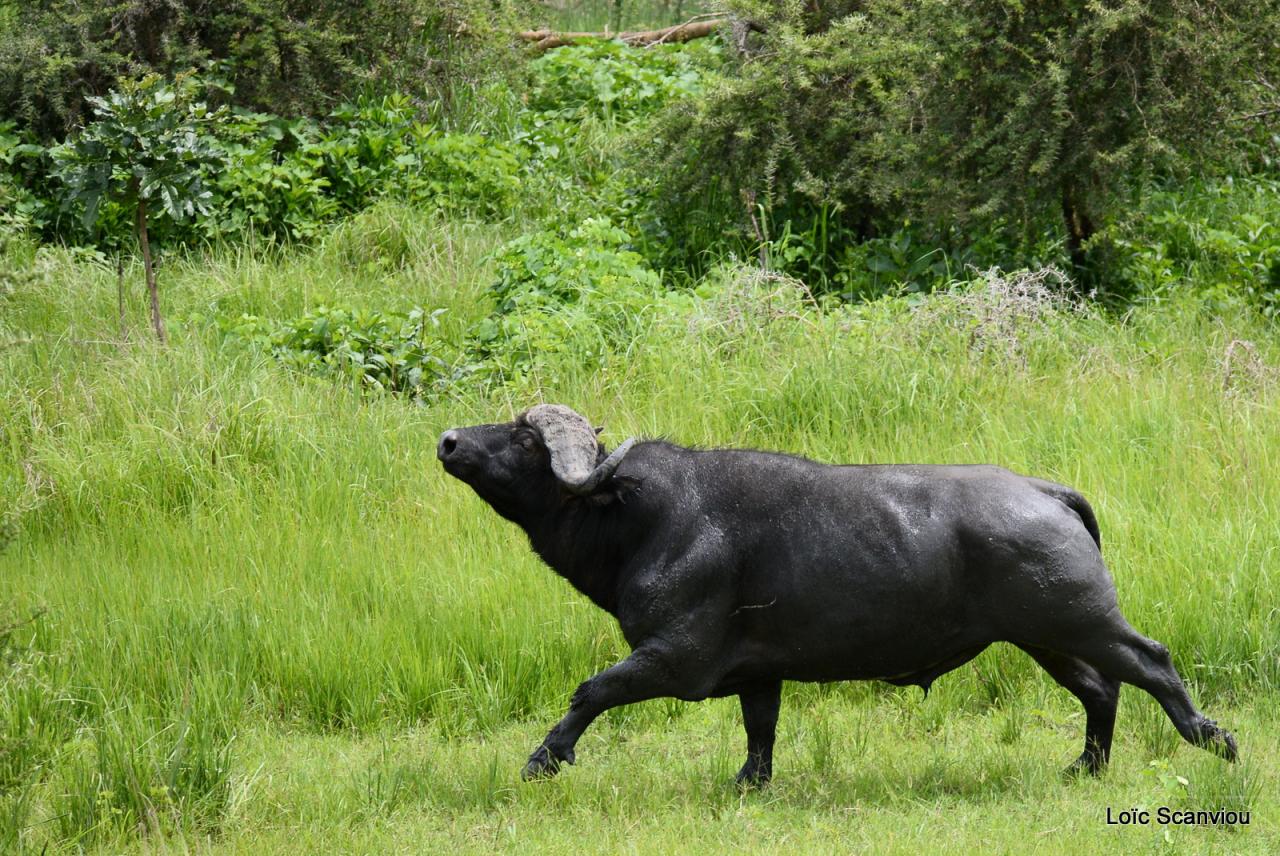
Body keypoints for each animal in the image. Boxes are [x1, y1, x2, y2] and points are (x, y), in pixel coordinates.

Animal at [435, 404, 1233, 783]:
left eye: (523, 438)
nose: (448, 441)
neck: (644, 517)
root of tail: (1044, 491)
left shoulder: (673, 660)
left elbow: (591, 692)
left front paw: (544, 758)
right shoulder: (759, 674)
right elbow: (760, 732)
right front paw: (748, 784)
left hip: (1083, 621)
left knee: (1151, 662)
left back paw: (1212, 739)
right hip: (1046, 637)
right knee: (1101, 690)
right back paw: (1086, 766)